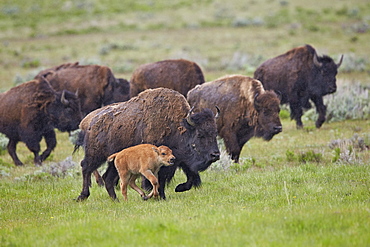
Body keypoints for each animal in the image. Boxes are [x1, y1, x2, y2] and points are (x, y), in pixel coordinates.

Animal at [75, 87, 220, 201]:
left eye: (215, 133)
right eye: (200, 134)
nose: (216, 155)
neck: (179, 127)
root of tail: (91, 123)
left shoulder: (180, 161)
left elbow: (190, 177)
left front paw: (178, 188)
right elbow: (158, 180)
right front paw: (161, 197)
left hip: (115, 161)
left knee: (108, 177)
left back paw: (116, 199)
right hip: (95, 155)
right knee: (86, 167)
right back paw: (82, 196)